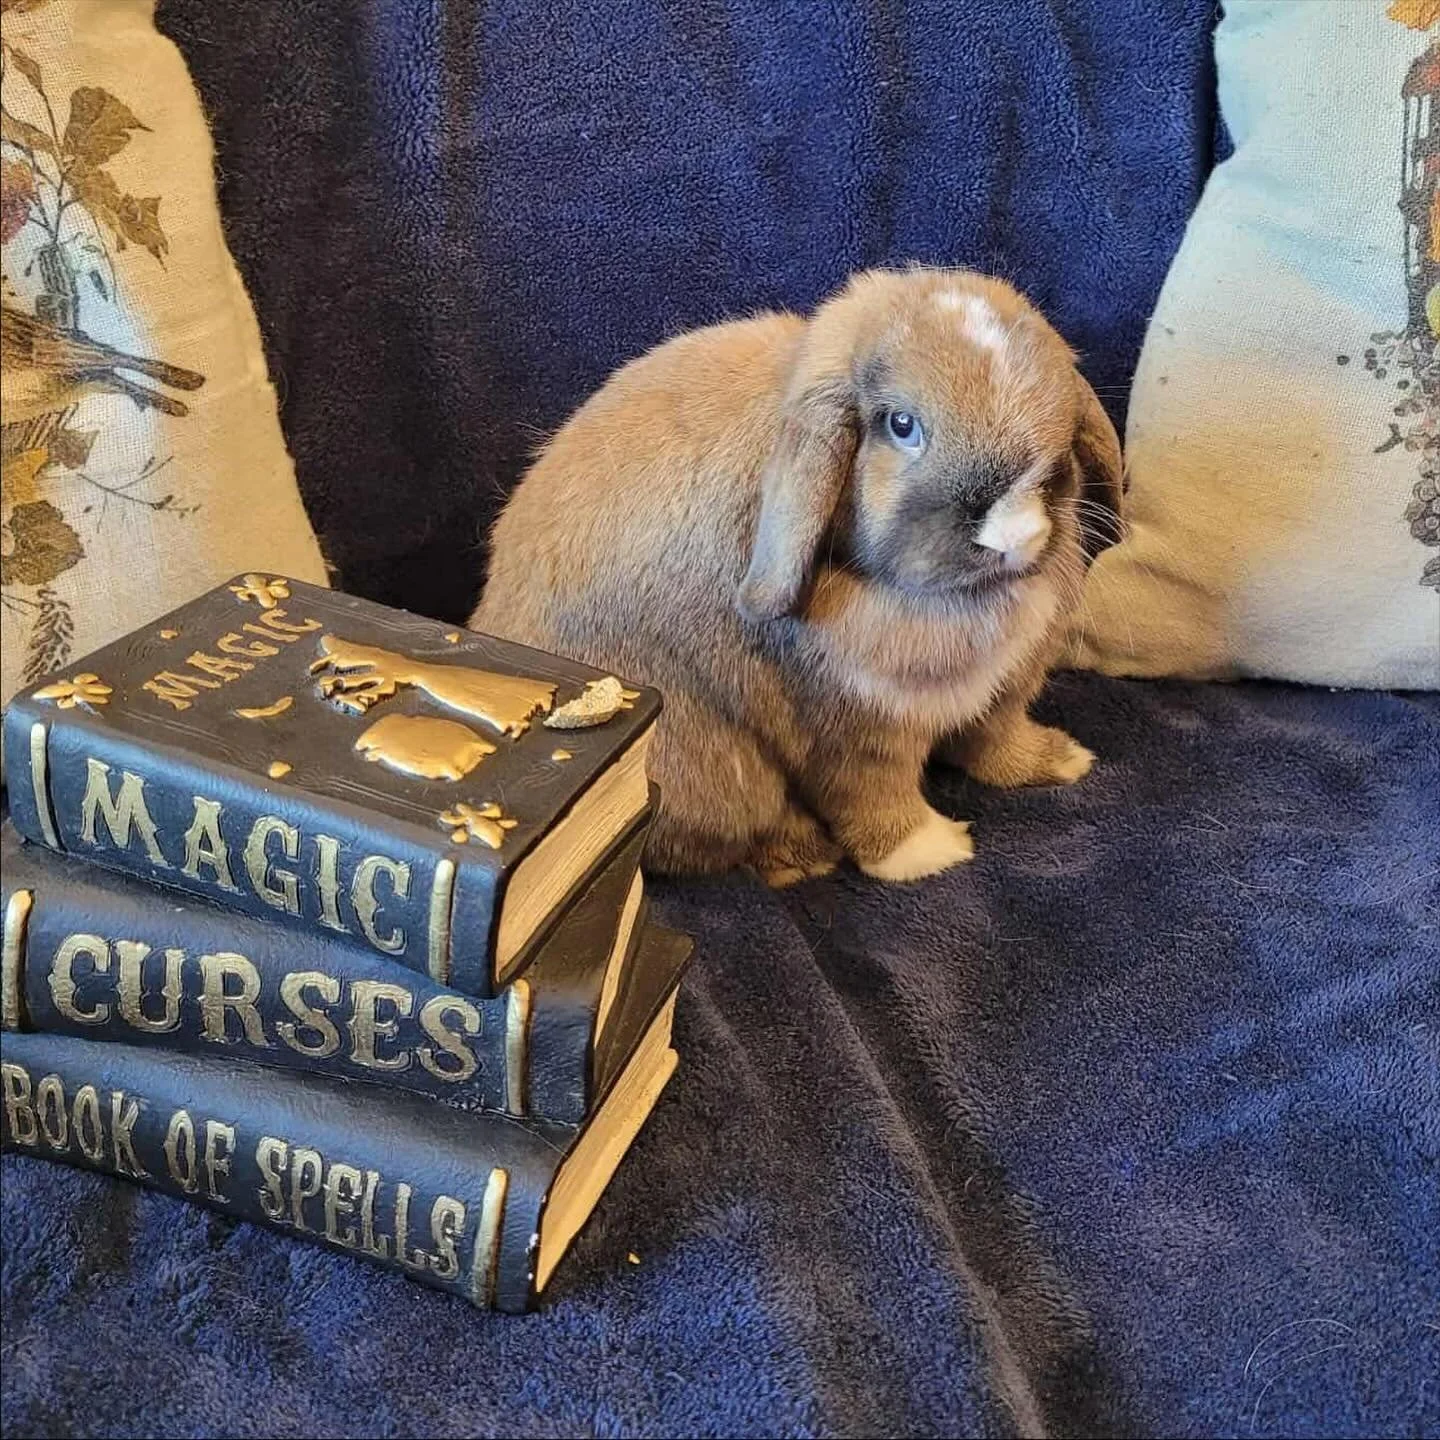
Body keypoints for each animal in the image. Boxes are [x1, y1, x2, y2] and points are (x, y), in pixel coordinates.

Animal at [473, 267, 1123, 885]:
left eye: (1062, 416)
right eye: (902, 424)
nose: (1012, 535)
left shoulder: (1004, 695)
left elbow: (997, 741)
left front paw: (1060, 760)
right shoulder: (849, 733)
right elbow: (874, 796)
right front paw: (929, 853)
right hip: (715, 770)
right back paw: (803, 856)